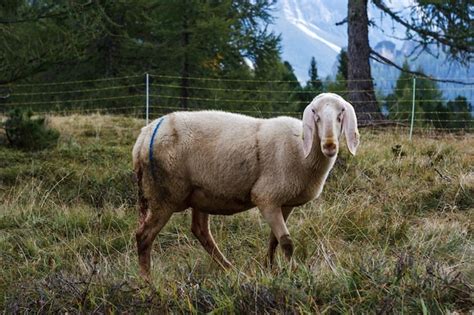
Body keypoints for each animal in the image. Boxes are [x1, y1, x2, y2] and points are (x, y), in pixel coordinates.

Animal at [131, 92, 358, 280]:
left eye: (341, 114)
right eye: (315, 115)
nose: (330, 145)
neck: (302, 149)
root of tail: (145, 134)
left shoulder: (285, 202)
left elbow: (274, 240)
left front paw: (270, 269)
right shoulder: (266, 197)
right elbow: (286, 242)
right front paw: (293, 274)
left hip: (201, 194)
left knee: (200, 230)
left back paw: (229, 269)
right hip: (164, 194)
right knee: (144, 236)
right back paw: (147, 281)